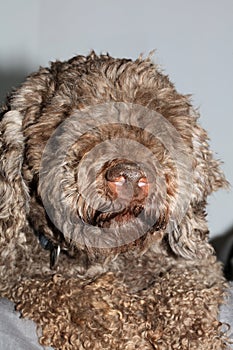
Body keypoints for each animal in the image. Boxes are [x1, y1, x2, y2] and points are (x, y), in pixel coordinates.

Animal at [0, 50, 230, 348]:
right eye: (66, 119)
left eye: (155, 119)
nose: (131, 175)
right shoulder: (25, 281)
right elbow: (75, 298)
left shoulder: (198, 268)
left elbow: (185, 291)